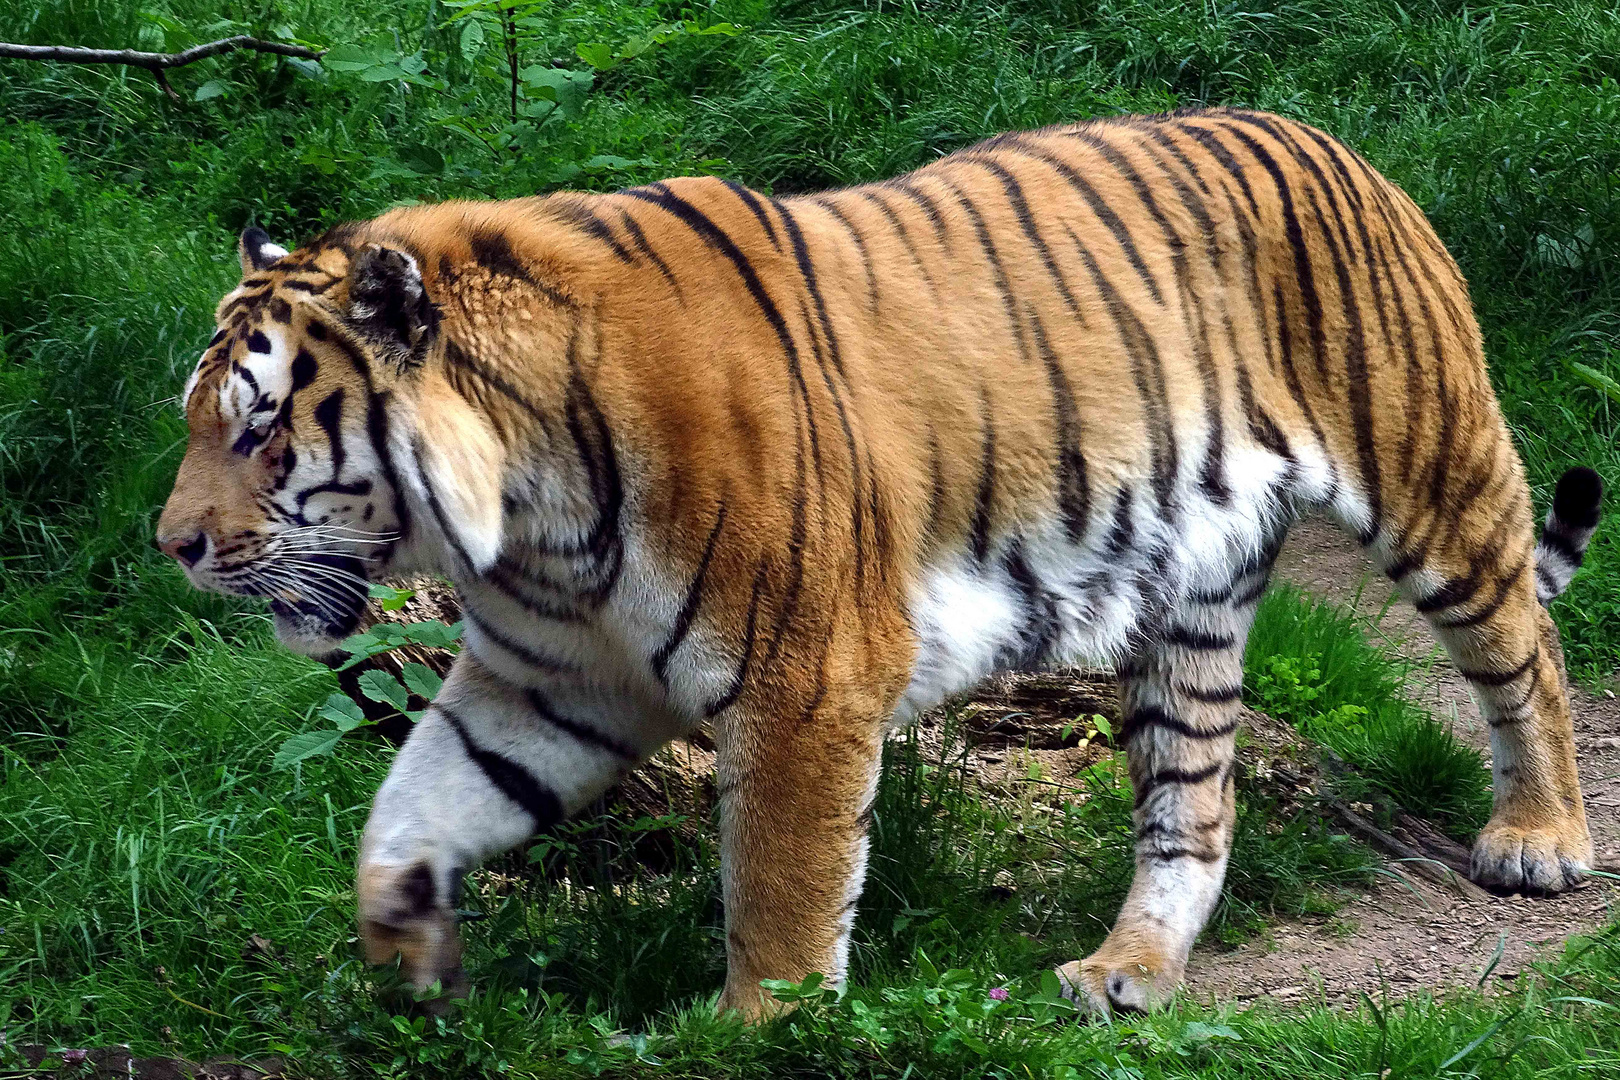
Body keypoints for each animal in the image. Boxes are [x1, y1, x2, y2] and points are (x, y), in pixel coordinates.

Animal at [157, 105, 1600, 1016]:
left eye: (260, 425)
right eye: (199, 418)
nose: (171, 547)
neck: (531, 522)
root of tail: (1336, 144)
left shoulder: (808, 677)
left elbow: (783, 886)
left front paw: (763, 1033)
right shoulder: (542, 686)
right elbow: (407, 813)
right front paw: (405, 958)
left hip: (1433, 477)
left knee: (1526, 645)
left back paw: (1541, 840)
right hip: (1189, 602)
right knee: (1195, 805)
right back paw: (1125, 972)